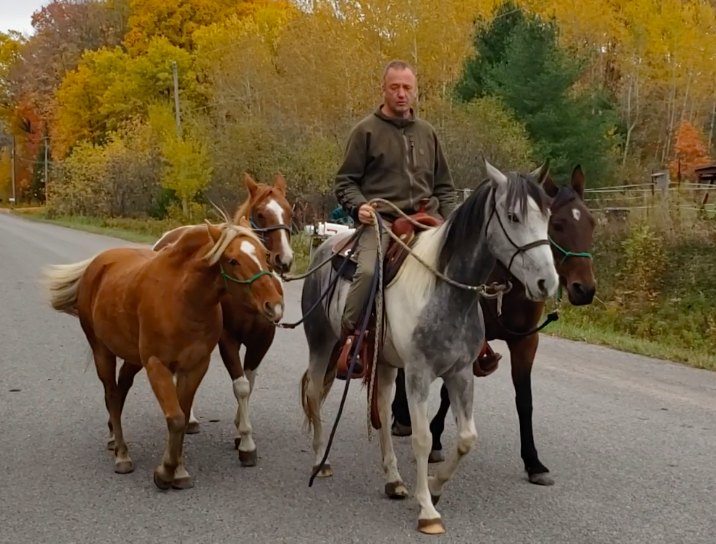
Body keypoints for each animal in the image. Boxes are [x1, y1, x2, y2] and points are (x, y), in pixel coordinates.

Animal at [40, 219, 284, 490]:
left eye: (264, 255)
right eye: (232, 260)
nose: (274, 305)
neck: (183, 299)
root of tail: (97, 264)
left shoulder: (195, 367)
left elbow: (183, 417)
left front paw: (178, 470)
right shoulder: (157, 366)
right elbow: (175, 418)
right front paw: (166, 471)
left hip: (132, 359)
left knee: (120, 390)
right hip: (102, 351)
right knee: (111, 394)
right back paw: (122, 454)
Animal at [153, 174, 294, 468]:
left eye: (289, 212)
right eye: (261, 213)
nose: (284, 260)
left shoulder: (262, 340)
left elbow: (249, 384)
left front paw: (241, 431)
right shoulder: (227, 340)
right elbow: (240, 387)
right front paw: (247, 444)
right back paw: (191, 420)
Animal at [388, 164, 596, 486]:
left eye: (592, 223)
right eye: (559, 224)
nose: (584, 289)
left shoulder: (525, 342)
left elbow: (525, 400)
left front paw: (533, 462)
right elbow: (447, 394)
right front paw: (435, 440)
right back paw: (401, 417)